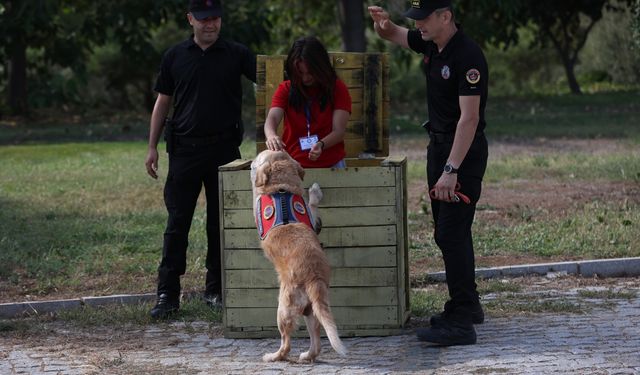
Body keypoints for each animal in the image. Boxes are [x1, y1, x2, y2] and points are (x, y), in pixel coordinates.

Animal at [250, 149, 348, 362]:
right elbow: (313, 207)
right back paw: (306, 356)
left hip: (283, 310)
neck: (281, 191)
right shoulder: (313, 222)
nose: (250, 164)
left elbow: (311, 202)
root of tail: (313, 276)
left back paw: (272, 356)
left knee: (286, 344)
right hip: (312, 311)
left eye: (255, 164)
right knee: (316, 343)